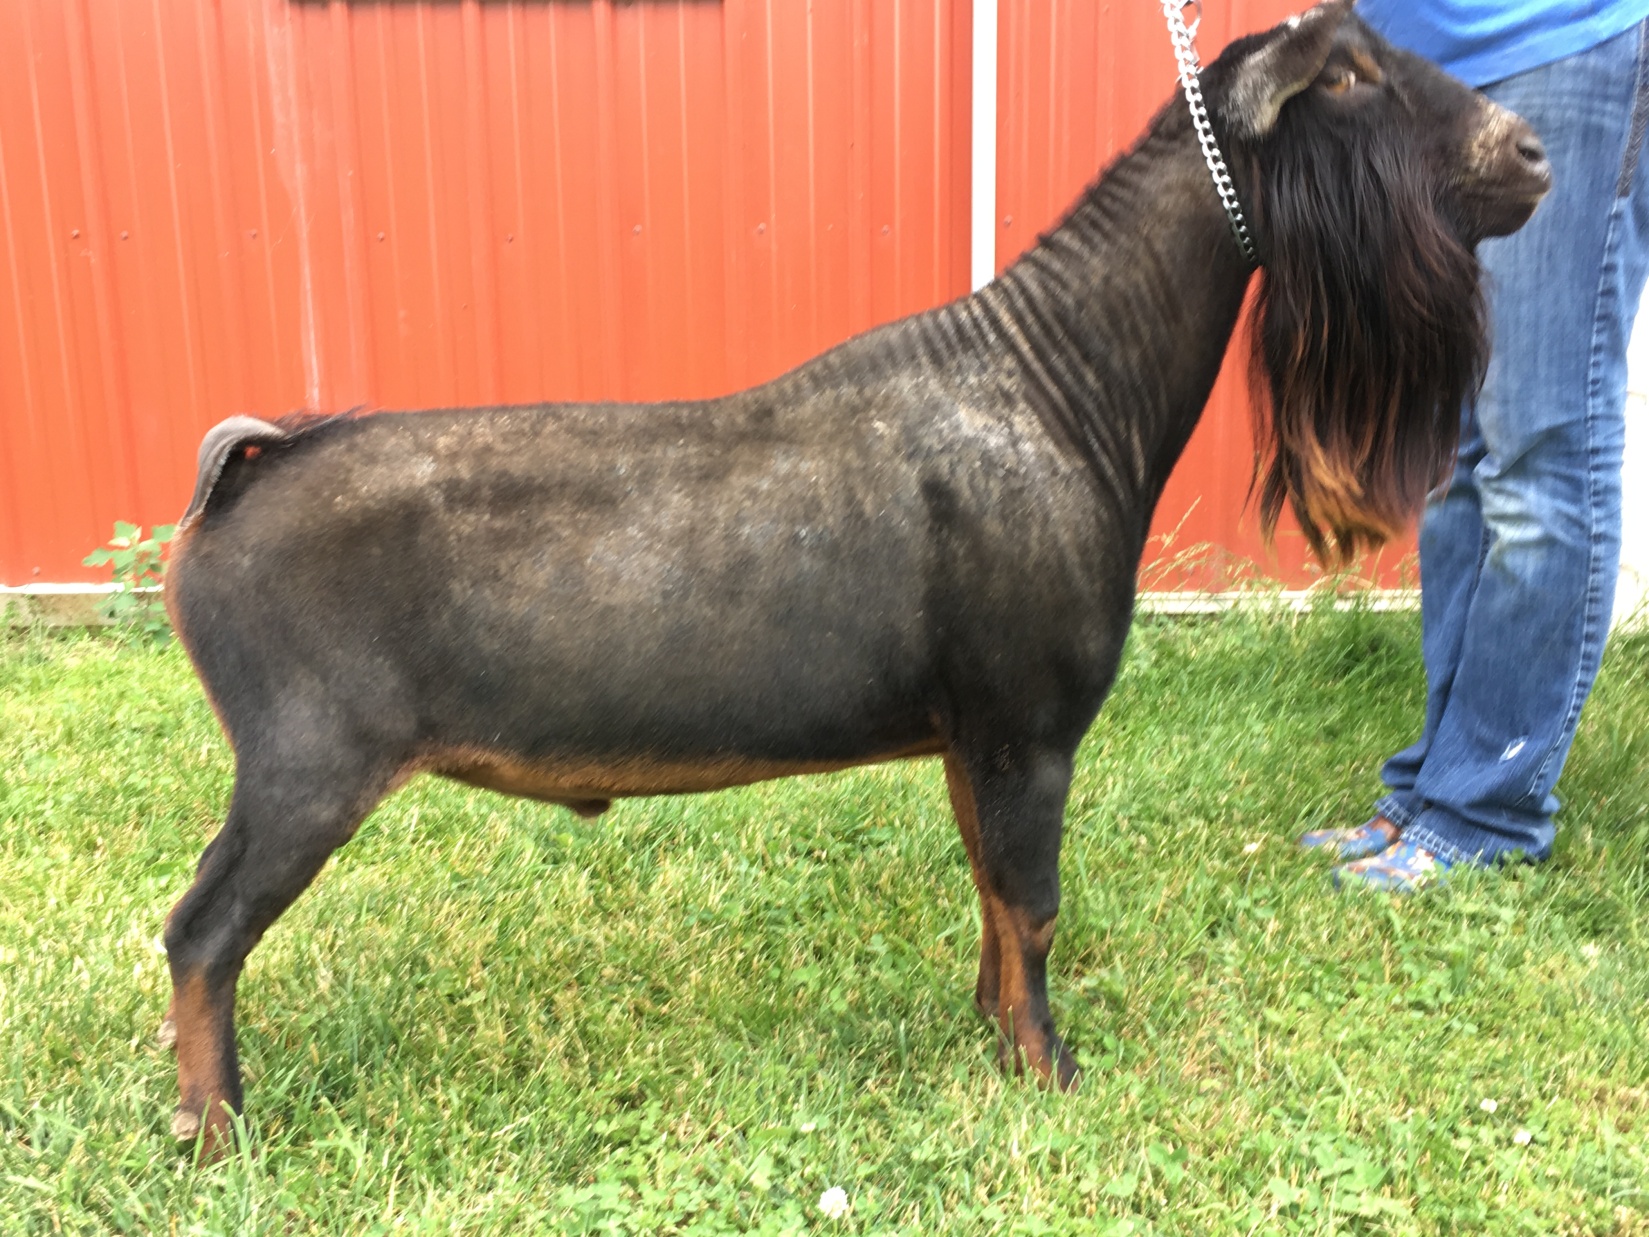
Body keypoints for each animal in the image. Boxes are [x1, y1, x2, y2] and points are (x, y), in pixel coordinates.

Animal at [159, 0, 1550, 1154]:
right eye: (1349, 74)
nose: (1531, 153)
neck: (1056, 386)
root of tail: (242, 479)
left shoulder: (971, 733)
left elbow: (989, 888)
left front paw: (992, 1031)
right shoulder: (1029, 723)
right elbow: (1035, 901)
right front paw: (1052, 1070)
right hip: (304, 758)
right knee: (199, 932)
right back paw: (218, 1133)